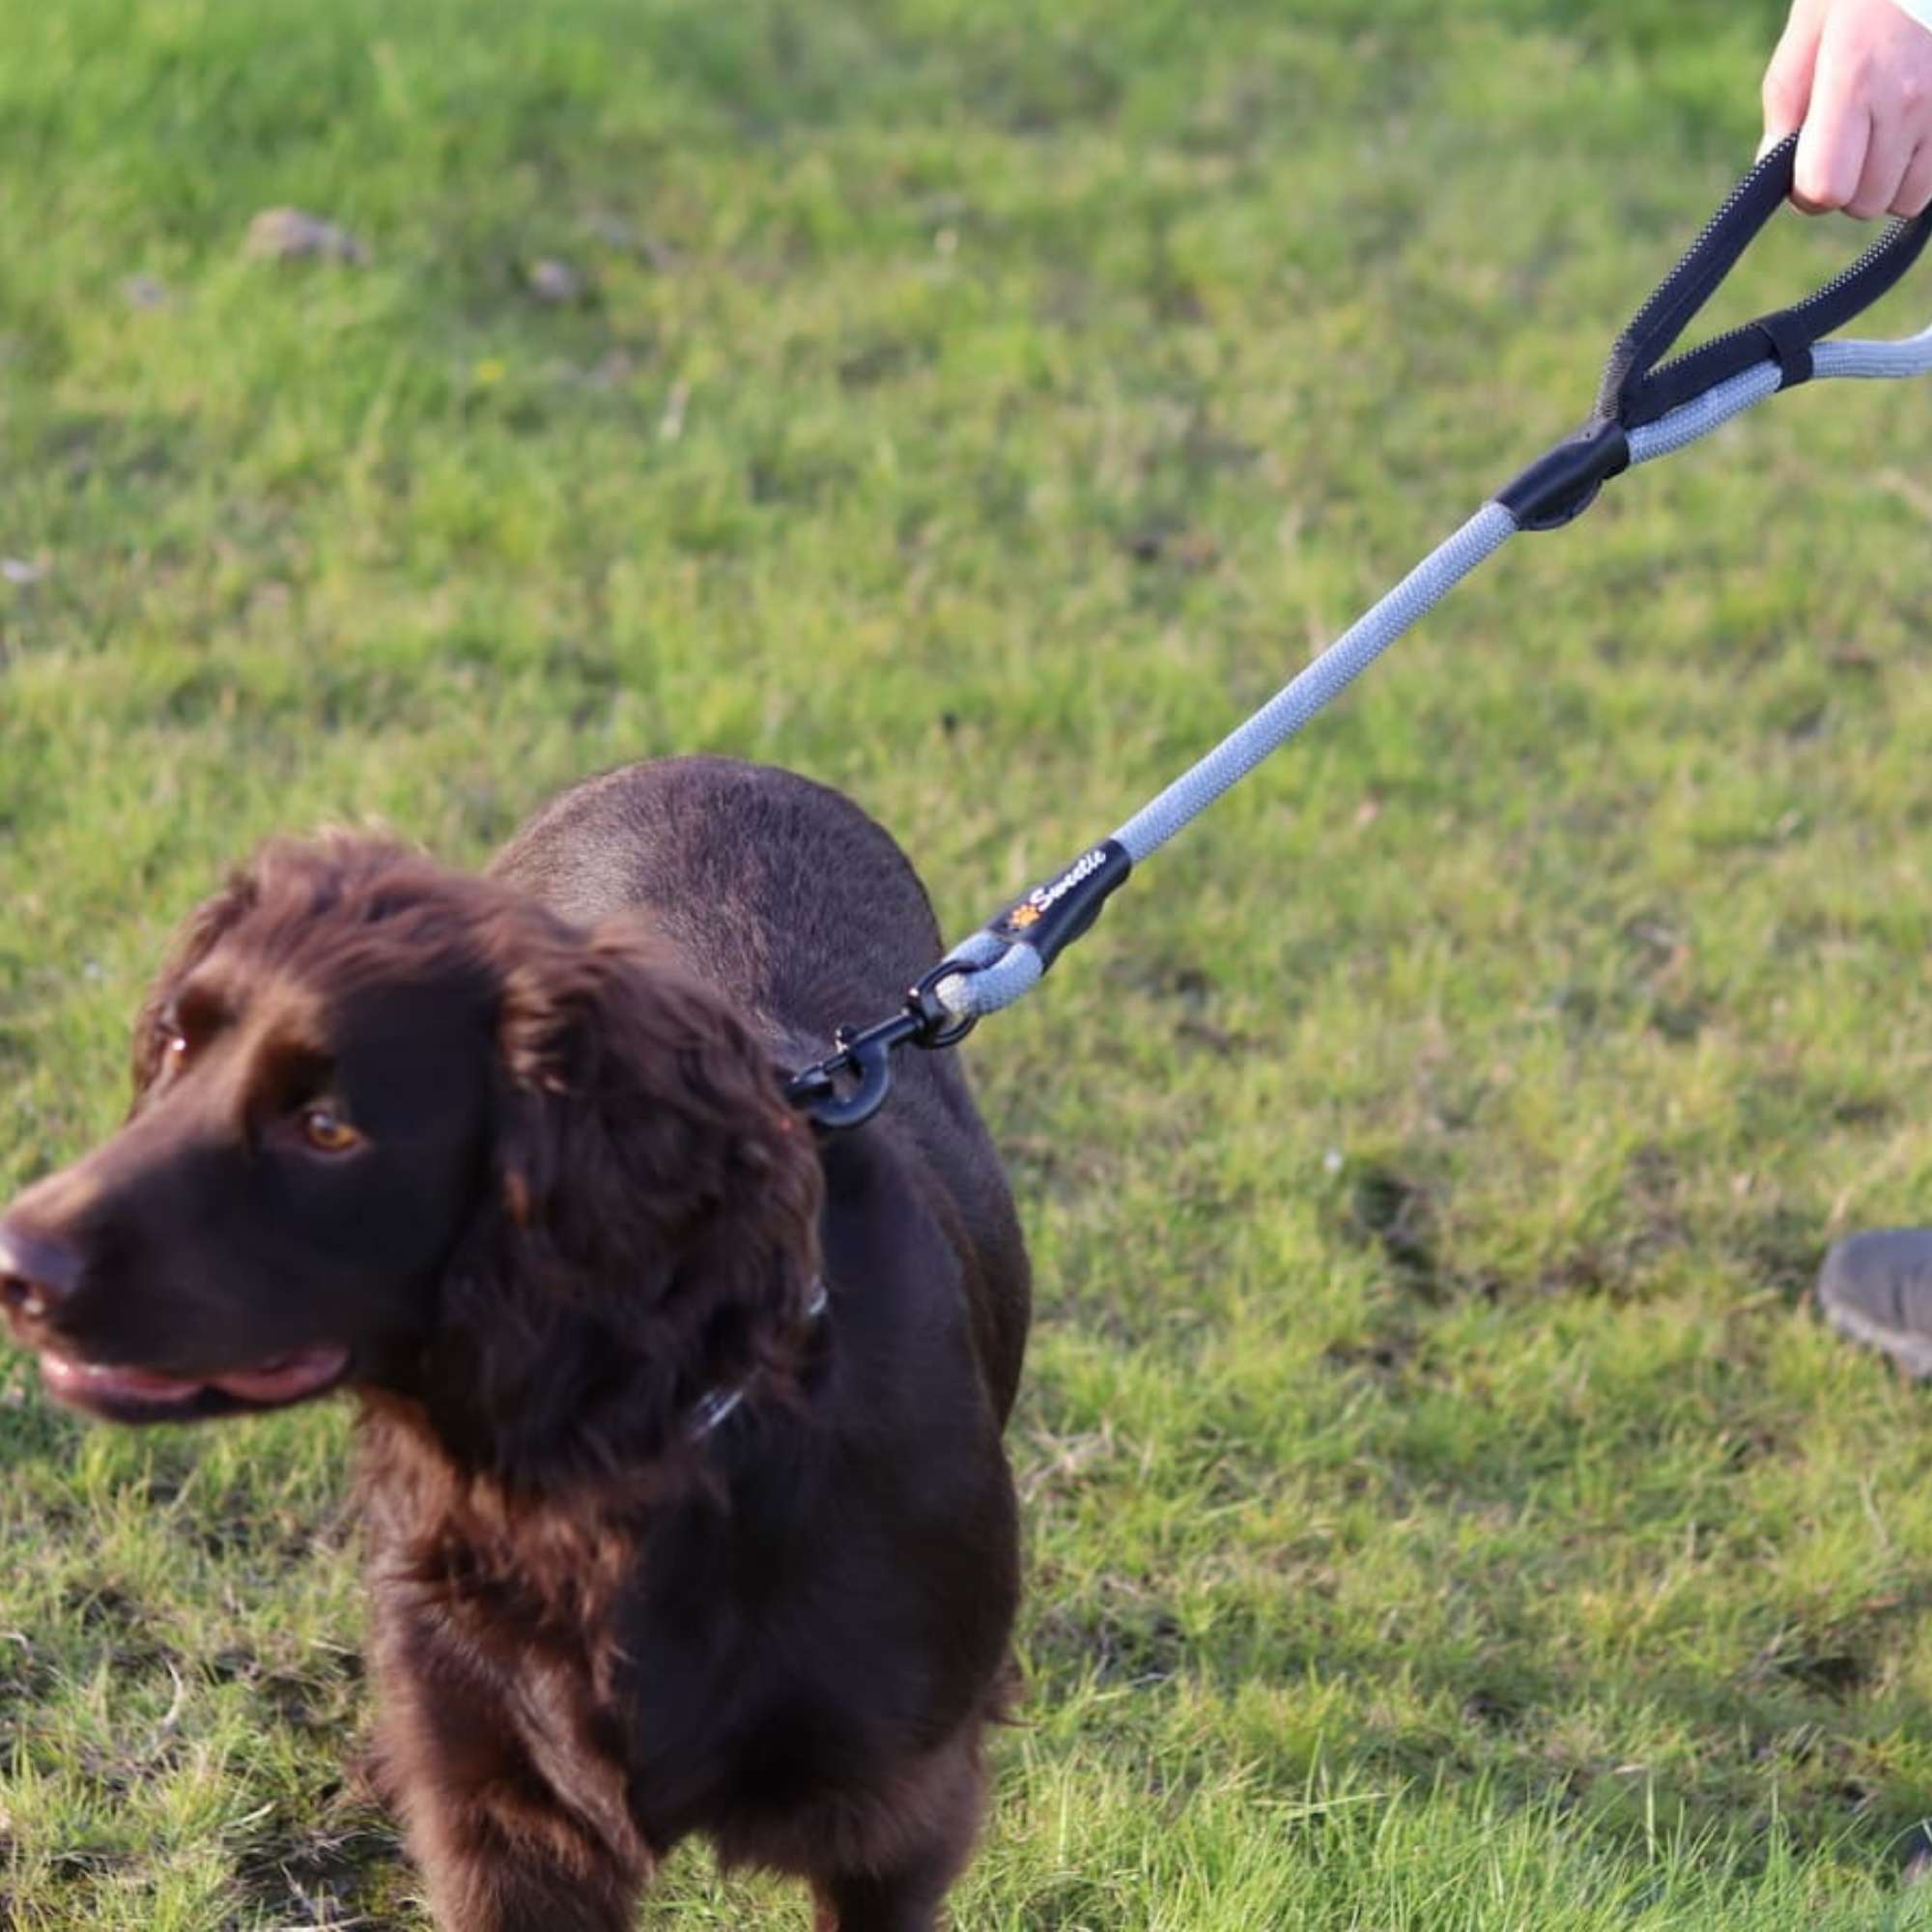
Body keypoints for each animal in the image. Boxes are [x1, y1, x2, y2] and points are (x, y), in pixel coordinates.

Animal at [0, 753, 1036, 1932]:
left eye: (327, 1128)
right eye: (176, 1041)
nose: (18, 1264)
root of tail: (715, 763)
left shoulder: (896, 1810)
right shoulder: (505, 1816)